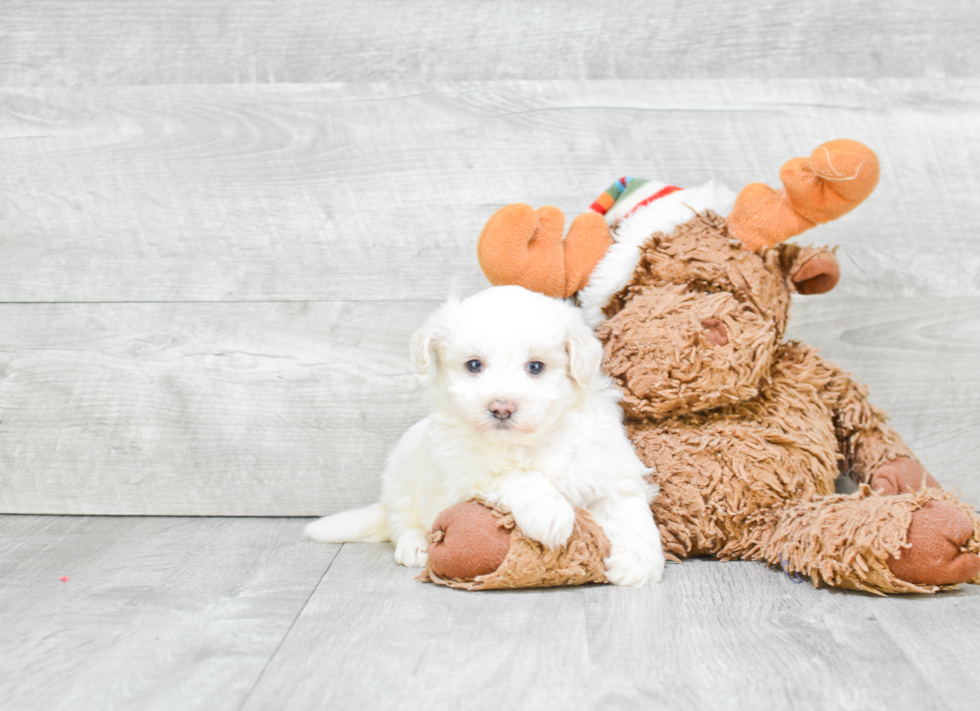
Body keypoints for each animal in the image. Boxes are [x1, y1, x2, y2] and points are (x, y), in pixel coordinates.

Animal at [306, 286, 668, 588]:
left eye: (535, 367)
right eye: (473, 365)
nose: (501, 407)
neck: (528, 441)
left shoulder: (606, 467)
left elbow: (629, 510)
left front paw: (638, 562)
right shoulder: (464, 472)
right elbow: (517, 477)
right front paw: (551, 514)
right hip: (403, 476)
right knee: (402, 520)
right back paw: (414, 545)